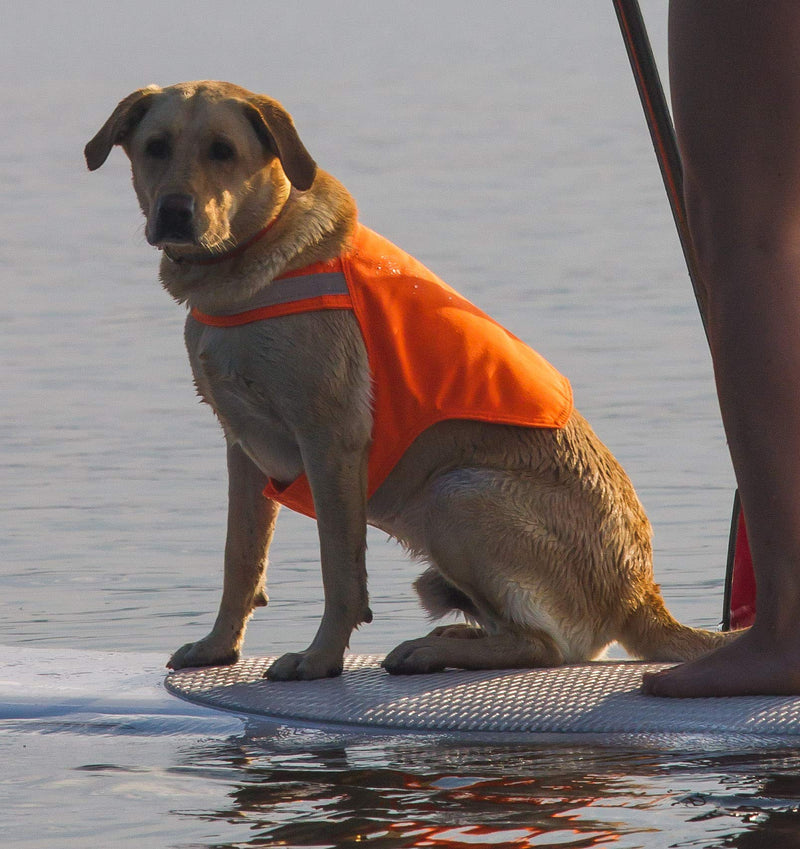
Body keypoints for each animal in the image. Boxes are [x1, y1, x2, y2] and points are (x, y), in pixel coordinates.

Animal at [84, 83, 736, 680]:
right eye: (155, 147)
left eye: (223, 150)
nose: (175, 212)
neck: (245, 269)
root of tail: (640, 596)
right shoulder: (242, 448)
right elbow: (239, 559)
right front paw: (219, 647)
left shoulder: (331, 441)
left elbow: (340, 572)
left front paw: (319, 660)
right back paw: (450, 638)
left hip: (455, 491)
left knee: (548, 647)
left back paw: (432, 651)